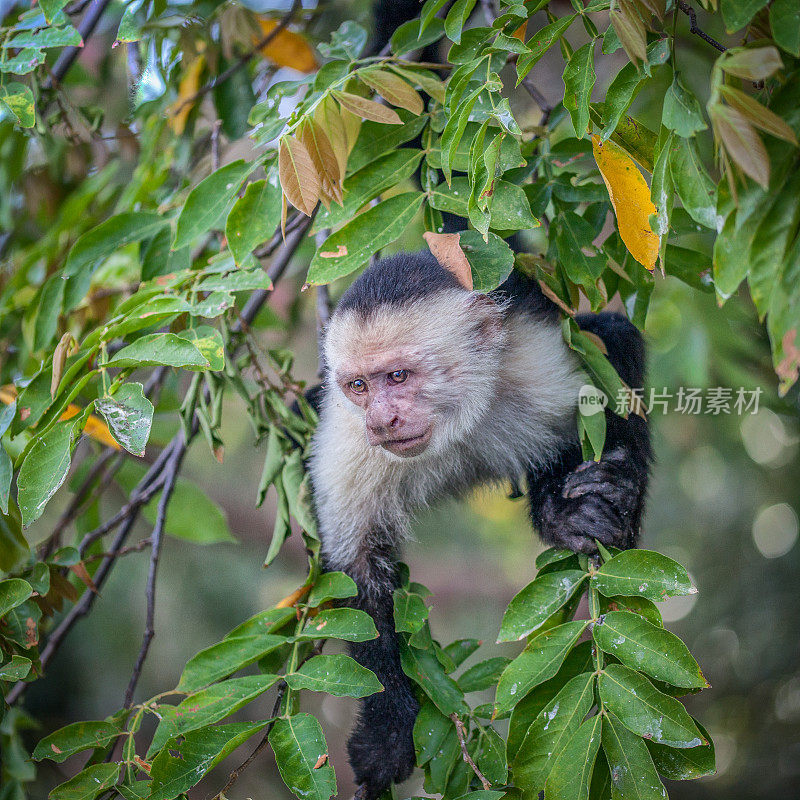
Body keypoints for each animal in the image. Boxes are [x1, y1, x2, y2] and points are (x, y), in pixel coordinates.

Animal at [306, 248, 648, 792]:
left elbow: (604, 370)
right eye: (358, 385)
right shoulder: (349, 437)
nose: (381, 421)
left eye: (398, 376)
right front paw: (386, 736)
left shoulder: (537, 366)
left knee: (610, 337)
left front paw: (576, 510)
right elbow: (357, 573)